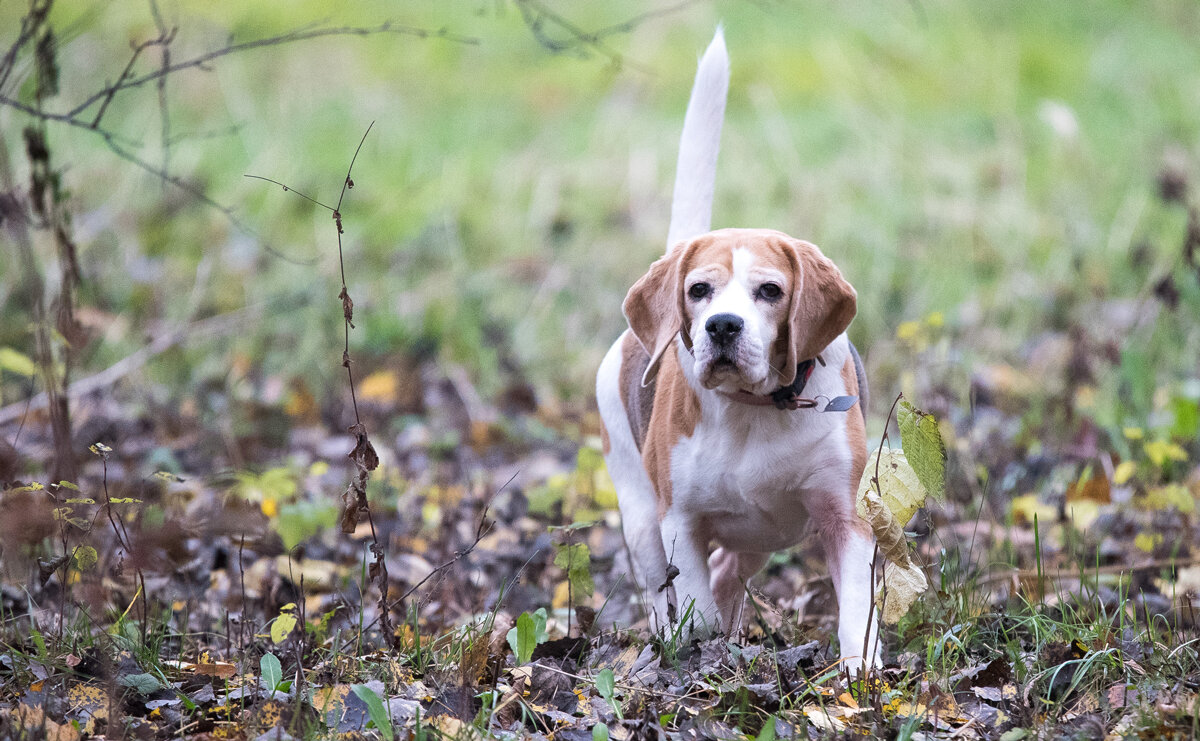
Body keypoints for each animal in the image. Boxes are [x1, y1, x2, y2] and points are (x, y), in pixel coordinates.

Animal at [592, 31, 883, 666]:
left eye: (770, 291)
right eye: (699, 291)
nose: (722, 326)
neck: (756, 409)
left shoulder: (845, 517)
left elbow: (857, 609)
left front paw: (862, 673)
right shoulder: (680, 523)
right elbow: (694, 604)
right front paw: (700, 657)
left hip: (760, 534)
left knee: (729, 571)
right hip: (642, 518)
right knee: (669, 588)